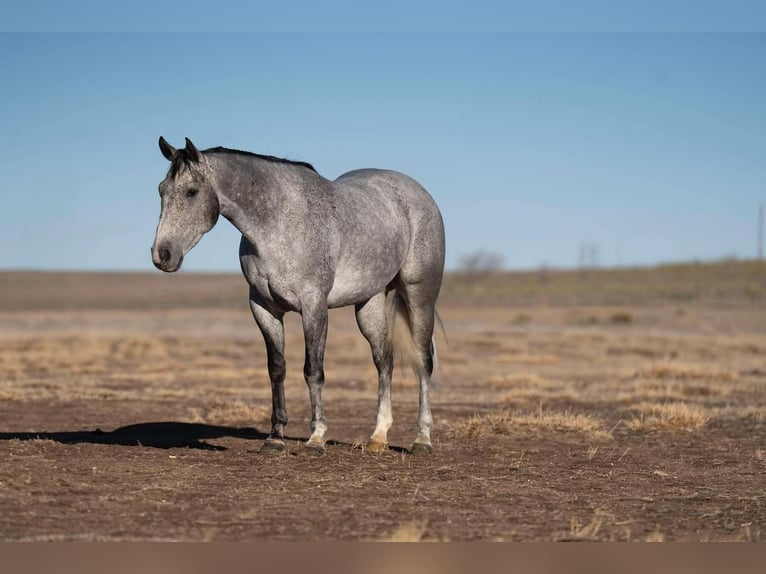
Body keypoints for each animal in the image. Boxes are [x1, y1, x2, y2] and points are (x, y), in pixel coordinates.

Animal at [151, 137, 448, 456]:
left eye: (191, 191)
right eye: (161, 189)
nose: (162, 255)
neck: (278, 225)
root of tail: (418, 194)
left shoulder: (314, 306)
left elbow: (313, 370)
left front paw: (316, 438)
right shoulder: (263, 308)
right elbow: (277, 369)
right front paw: (275, 437)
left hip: (419, 297)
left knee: (424, 361)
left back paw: (422, 440)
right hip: (369, 304)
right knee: (384, 361)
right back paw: (378, 438)